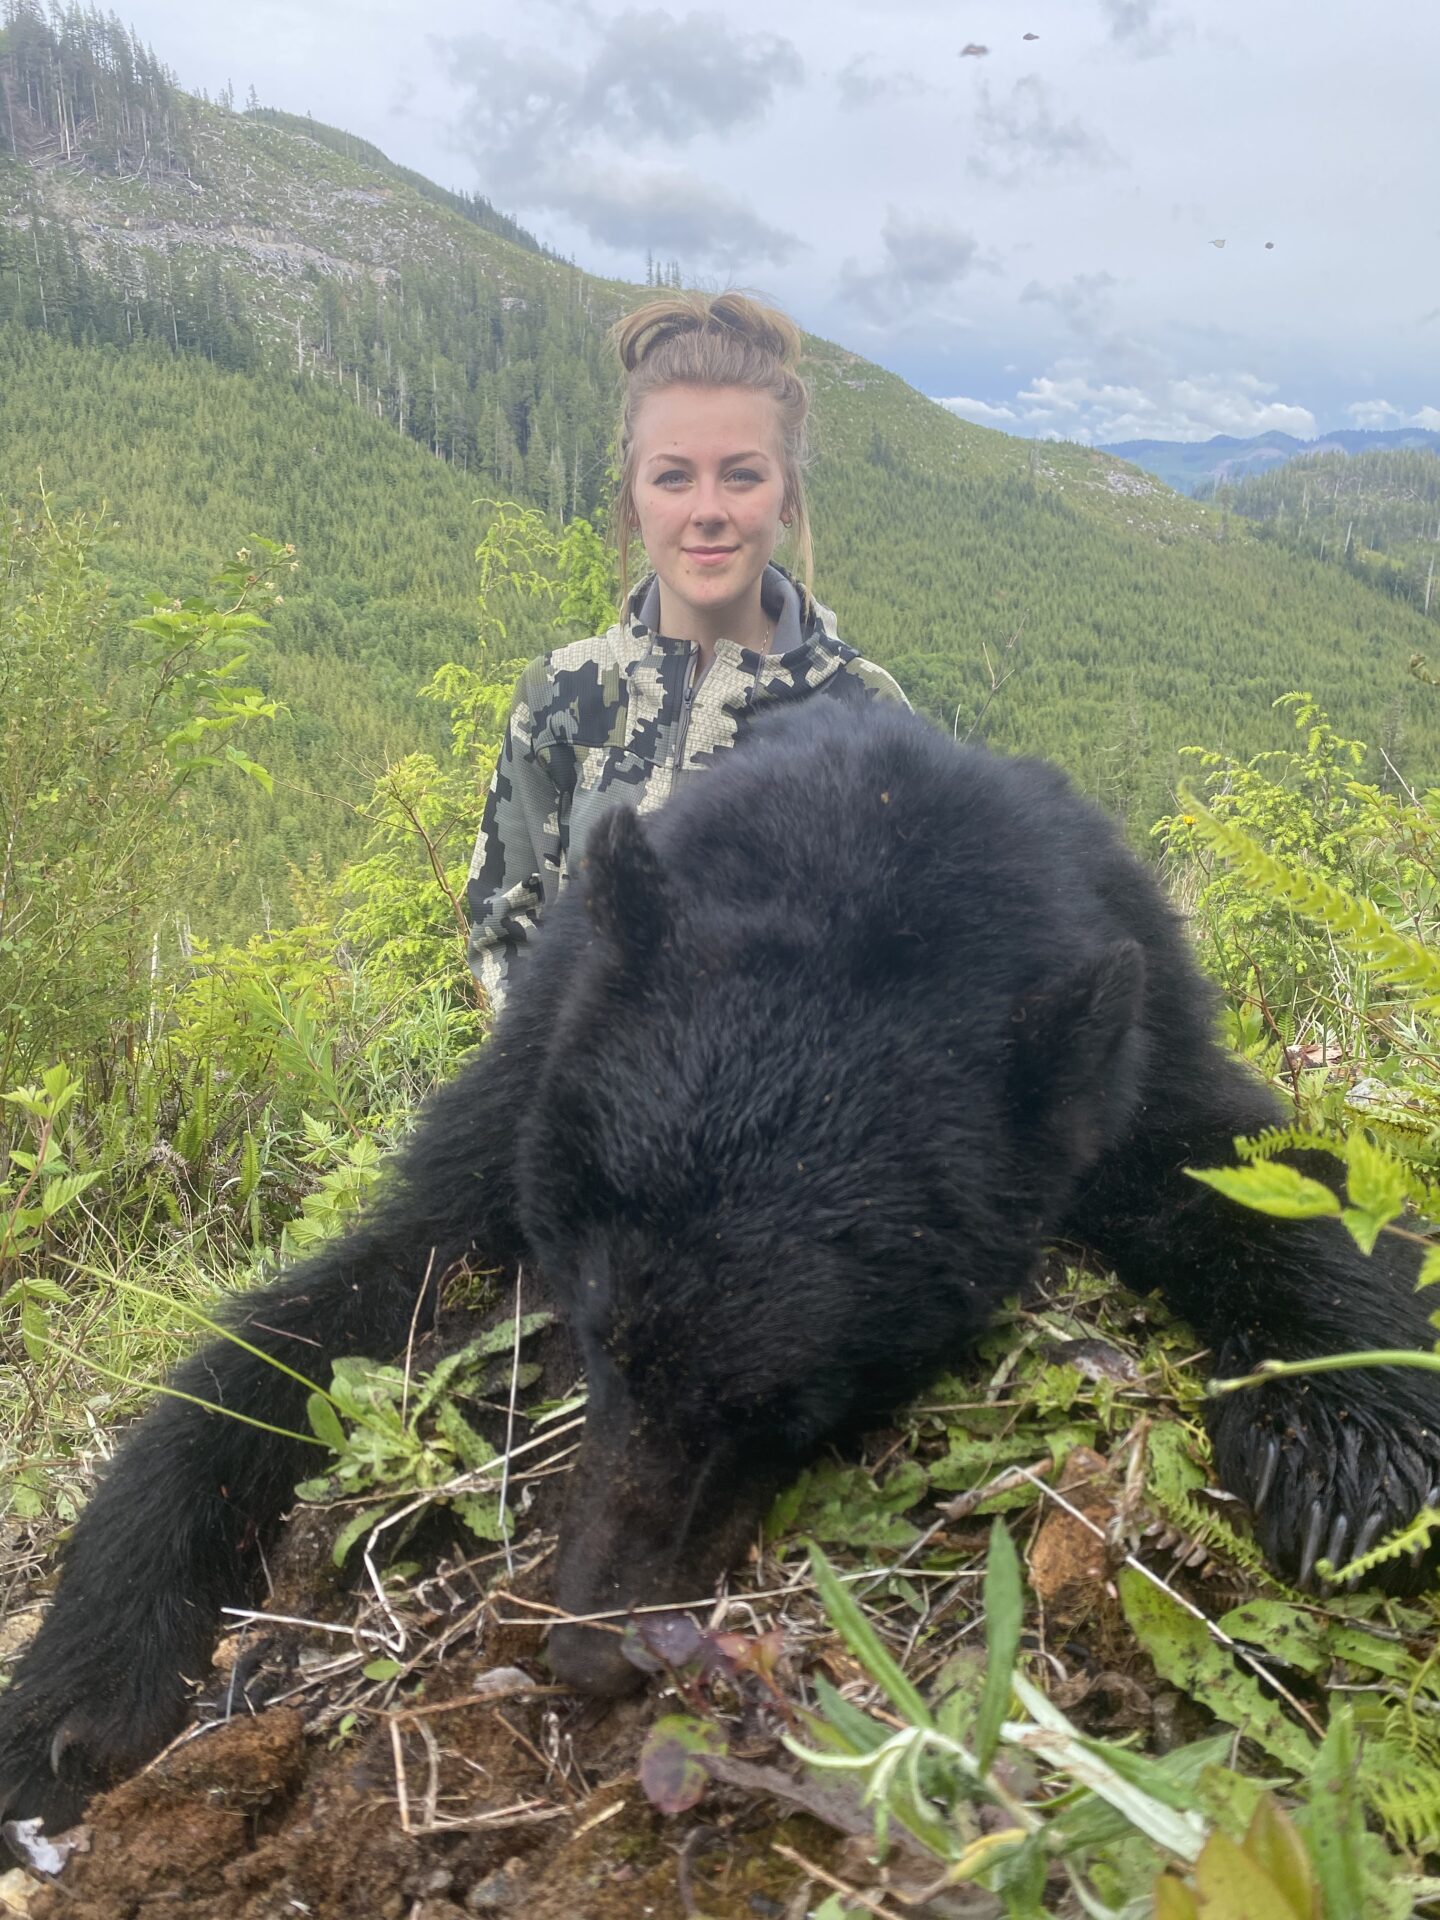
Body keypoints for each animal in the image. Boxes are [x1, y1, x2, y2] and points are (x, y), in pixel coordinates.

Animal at [2, 702, 1440, 1827]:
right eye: (596, 1334)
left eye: (798, 1397)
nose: (592, 1649)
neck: (876, 855)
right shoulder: (536, 1077)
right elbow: (320, 1317)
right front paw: (76, 1688)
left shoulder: (1120, 1054)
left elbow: (1270, 1172)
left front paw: (1352, 1446)